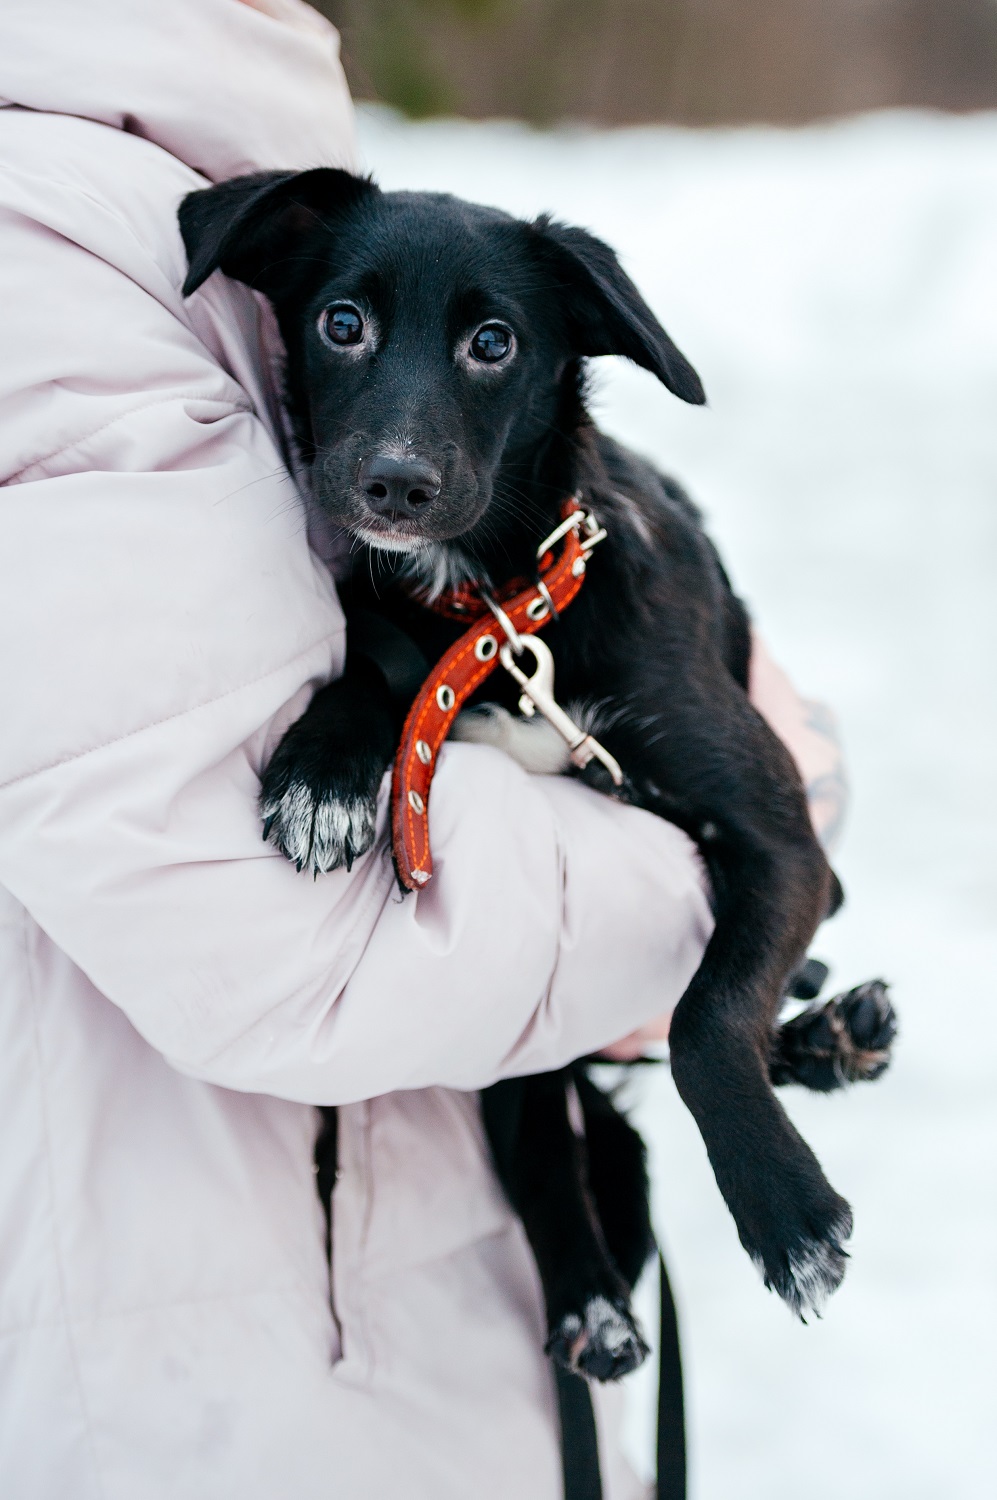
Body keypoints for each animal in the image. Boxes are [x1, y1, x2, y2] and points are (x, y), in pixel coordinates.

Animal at [180, 170, 893, 1374]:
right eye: (340, 322)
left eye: (494, 342)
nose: (394, 485)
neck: (500, 621)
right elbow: (371, 667)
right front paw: (324, 771)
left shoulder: (785, 841)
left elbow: (705, 1020)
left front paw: (784, 1211)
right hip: (499, 1023)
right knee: (540, 1131)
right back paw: (589, 1301)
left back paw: (836, 1037)